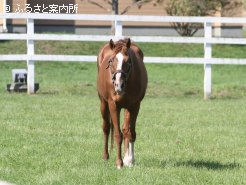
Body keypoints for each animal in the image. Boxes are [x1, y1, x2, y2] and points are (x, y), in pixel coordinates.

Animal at [97, 38, 147, 168]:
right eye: (111, 61)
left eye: (128, 61)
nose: (118, 85)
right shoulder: (114, 105)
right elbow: (117, 134)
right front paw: (119, 163)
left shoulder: (135, 106)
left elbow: (130, 133)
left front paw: (130, 160)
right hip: (103, 103)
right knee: (106, 127)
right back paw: (105, 156)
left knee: (125, 130)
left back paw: (126, 158)